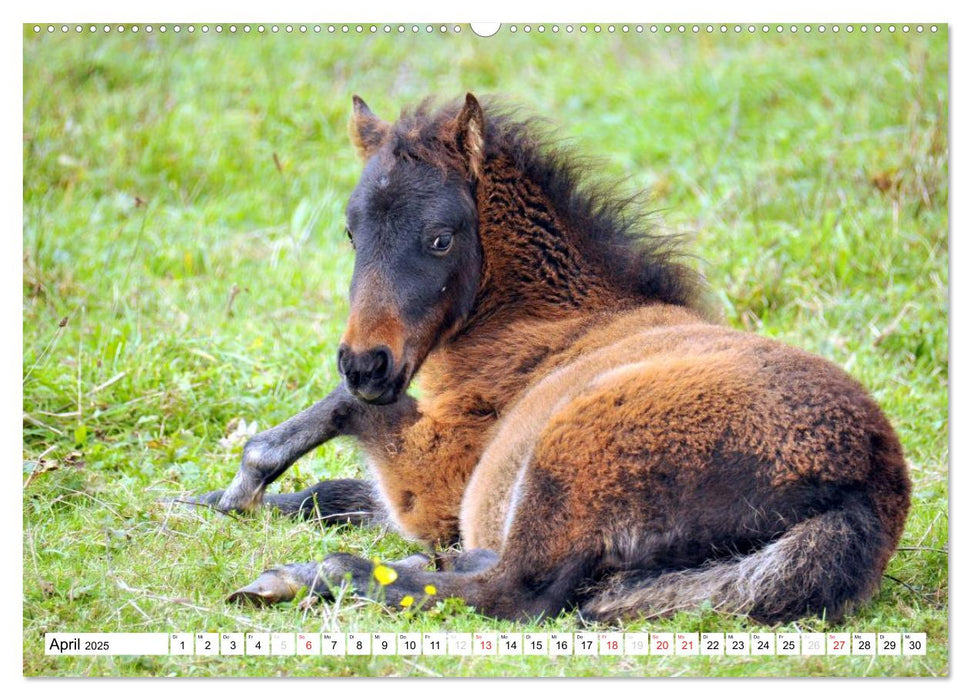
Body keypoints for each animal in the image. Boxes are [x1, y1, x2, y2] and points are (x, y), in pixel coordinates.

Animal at [203, 94, 912, 624]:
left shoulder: (432, 480)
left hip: (572, 453)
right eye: (352, 233)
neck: (548, 322)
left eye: (440, 238)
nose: (365, 364)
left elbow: (338, 420)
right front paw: (206, 502)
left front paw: (241, 488)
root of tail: (868, 489)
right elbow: (327, 494)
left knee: (512, 591)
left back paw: (307, 576)